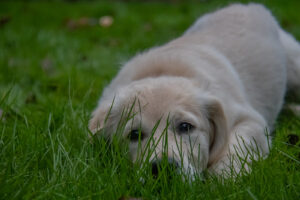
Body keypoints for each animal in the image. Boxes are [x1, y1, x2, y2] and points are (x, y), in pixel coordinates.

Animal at [88, 3, 300, 177]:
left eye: (185, 127)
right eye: (134, 134)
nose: (162, 169)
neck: (162, 71)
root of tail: (250, 6)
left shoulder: (249, 119)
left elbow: (235, 147)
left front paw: (222, 180)